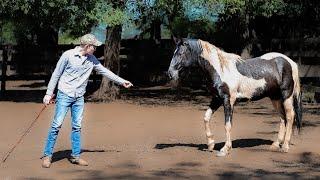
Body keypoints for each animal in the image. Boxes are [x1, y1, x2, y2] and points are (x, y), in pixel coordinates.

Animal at [168, 37, 302, 156]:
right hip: (275, 97)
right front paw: (211, 144)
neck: (221, 70)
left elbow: (227, 125)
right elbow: (206, 117)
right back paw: (275, 145)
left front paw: (225, 149)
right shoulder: (217, 99)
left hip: (286, 95)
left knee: (290, 116)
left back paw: (285, 146)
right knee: (282, 117)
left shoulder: (228, 100)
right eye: (174, 52)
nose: (170, 73)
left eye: (180, 53)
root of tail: (290, 62)